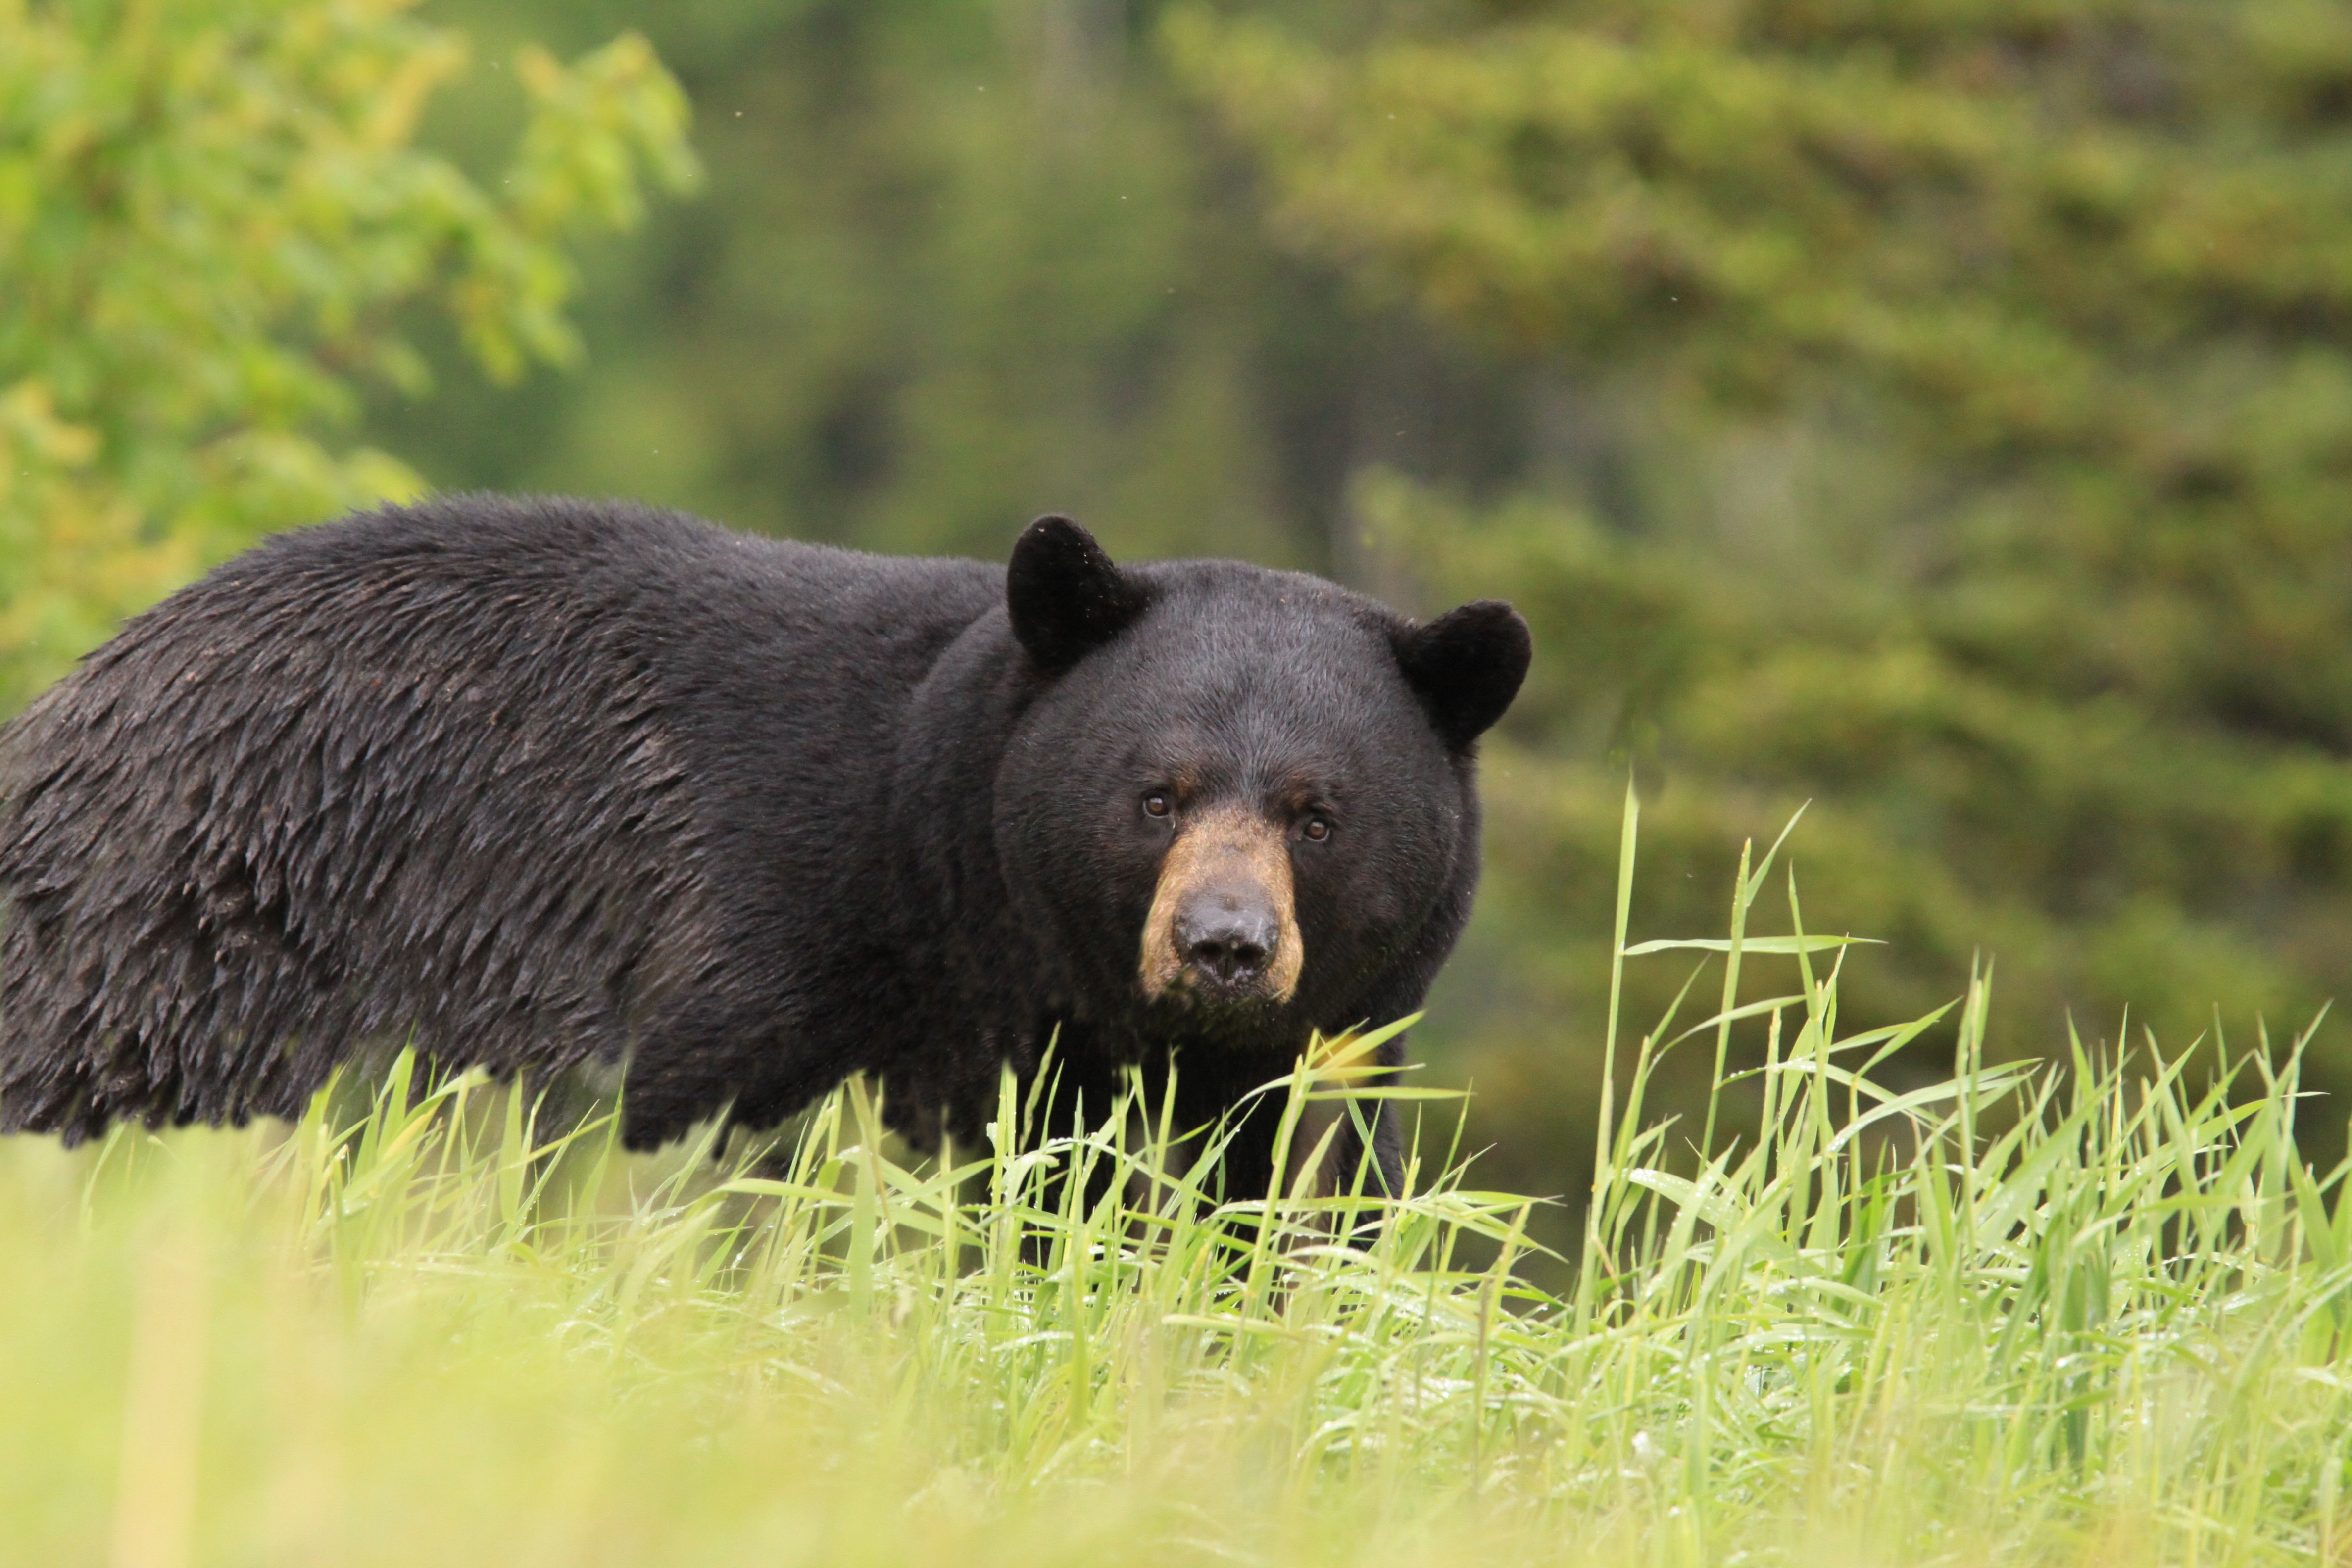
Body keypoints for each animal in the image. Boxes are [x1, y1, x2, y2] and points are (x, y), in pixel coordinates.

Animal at [0, 496, 1533, 1194]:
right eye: (1156, 792)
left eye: (1318, 813)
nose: (1222, 948)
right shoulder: (761, 931)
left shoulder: (1284, 1090)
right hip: (189, 945)